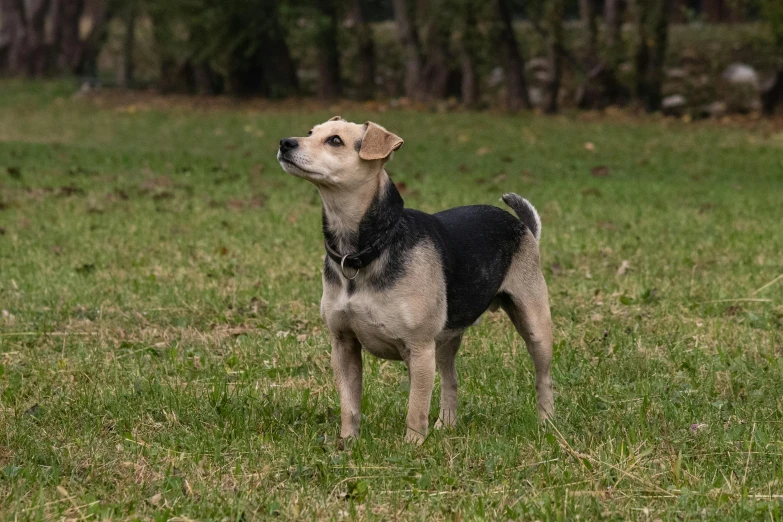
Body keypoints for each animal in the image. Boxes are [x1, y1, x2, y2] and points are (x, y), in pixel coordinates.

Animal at [278, 118, 556, 442]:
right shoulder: (344, 344)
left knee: (543, 378)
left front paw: (412, 445)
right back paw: (446, 424)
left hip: (534, 327)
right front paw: (347, 443)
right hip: (446, 340)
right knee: (451, 380)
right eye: (310, 132)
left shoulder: (420, 348)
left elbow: (416, 407)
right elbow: (350, 404)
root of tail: (522, 226)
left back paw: (547, 423)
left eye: (335, 141)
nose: (285, 142)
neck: (367, 248)